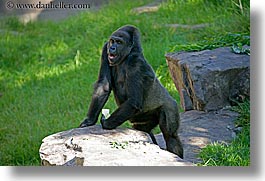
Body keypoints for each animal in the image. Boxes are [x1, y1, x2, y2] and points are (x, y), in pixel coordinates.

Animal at [78, 24, 183, 158]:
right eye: (112, 41)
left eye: (119, 42)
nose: (112, 48)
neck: (128, 54)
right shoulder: (104, 50)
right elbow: (103, 86)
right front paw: (89, 120)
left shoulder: (135, 62)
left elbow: (133, 101)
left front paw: (106, 123)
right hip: (141, 120)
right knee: (144, 130)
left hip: (170, 105)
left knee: (171, 136)